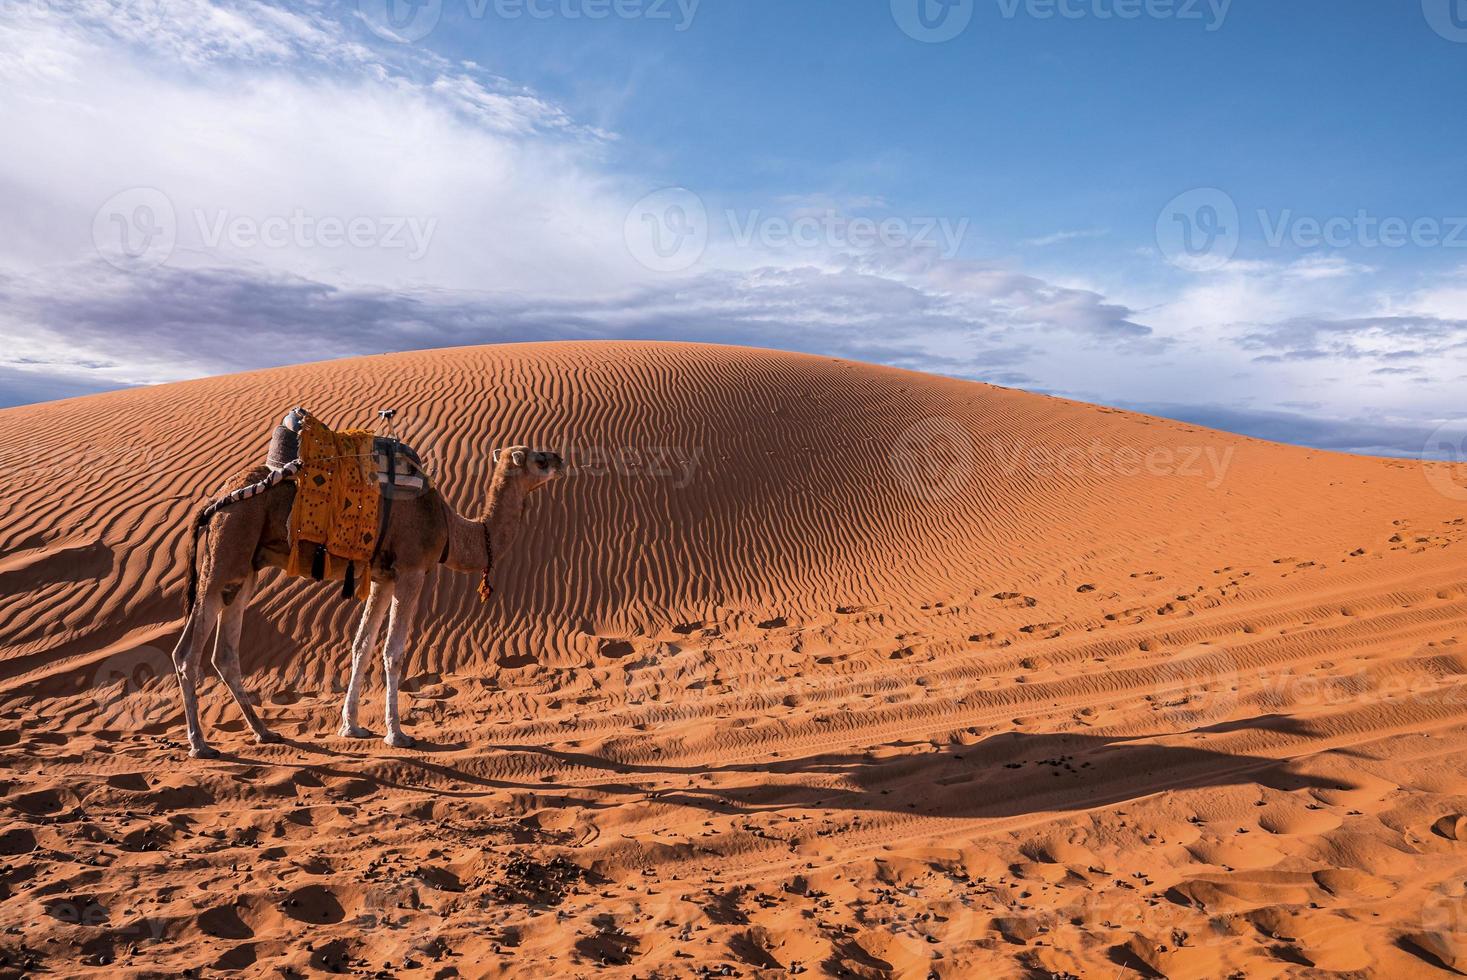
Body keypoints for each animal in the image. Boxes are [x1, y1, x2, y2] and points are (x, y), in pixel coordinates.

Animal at [171, 443, 560, 757]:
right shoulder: (411, 570)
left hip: (245, 567)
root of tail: (215, 501)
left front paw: (352, 726)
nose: (560, 458)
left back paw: (264, 732)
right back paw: (200, 744)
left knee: (224, 651)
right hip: (228, 550)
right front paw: (397, 734)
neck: (451, 528)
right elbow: (393, 651)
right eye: (539, 459)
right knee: (187, 653)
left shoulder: (382, 578)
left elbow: (362, 643)